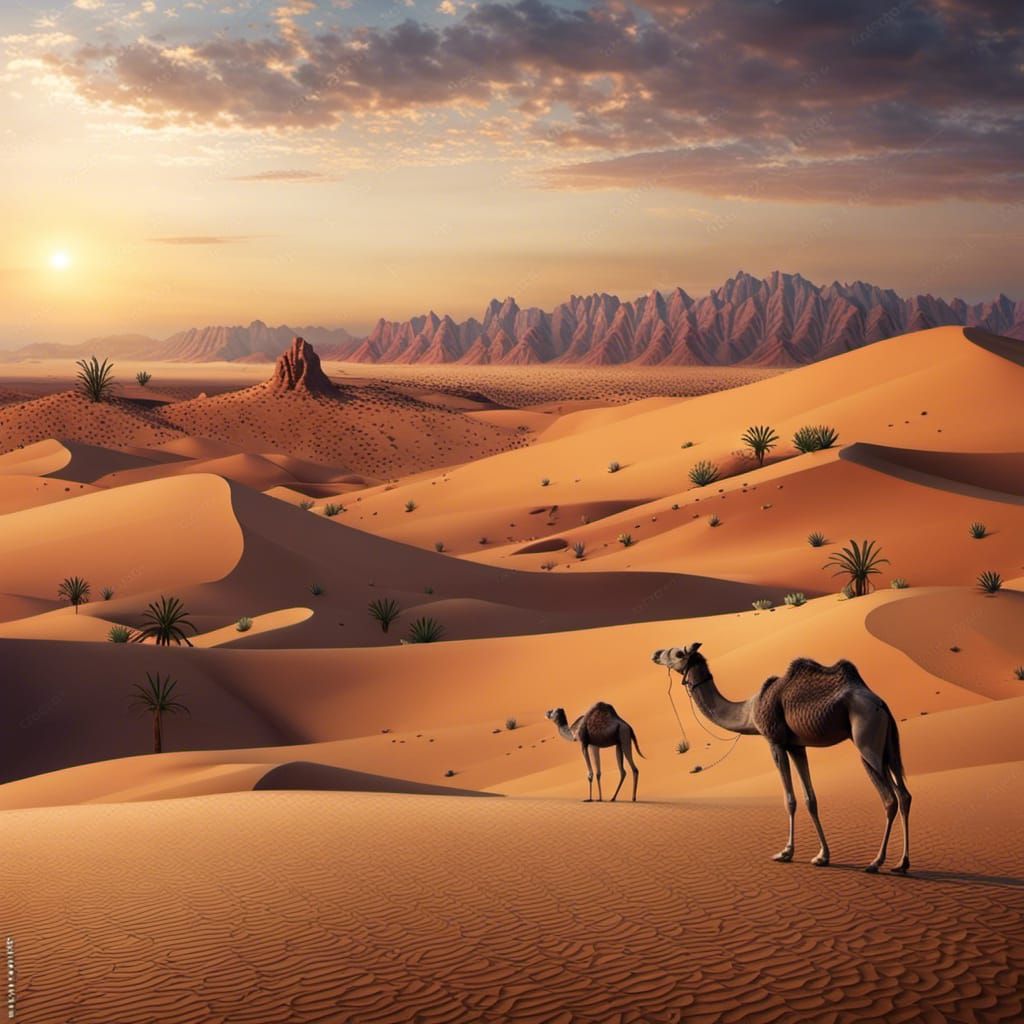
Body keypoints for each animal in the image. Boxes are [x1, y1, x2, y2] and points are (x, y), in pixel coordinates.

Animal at [652, 643, 911, 874]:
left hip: (867, 740)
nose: (655, 653)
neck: (749, 711)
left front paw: (786, 852)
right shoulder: (796, 746)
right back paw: (901, 863)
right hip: (888, 748)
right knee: (904, 795)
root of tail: (882, 705)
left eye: (678, 653)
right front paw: (822, 856)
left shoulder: (774, 741)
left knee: (889, 798)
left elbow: (790, 799)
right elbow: (810, 799)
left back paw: (876, 862)